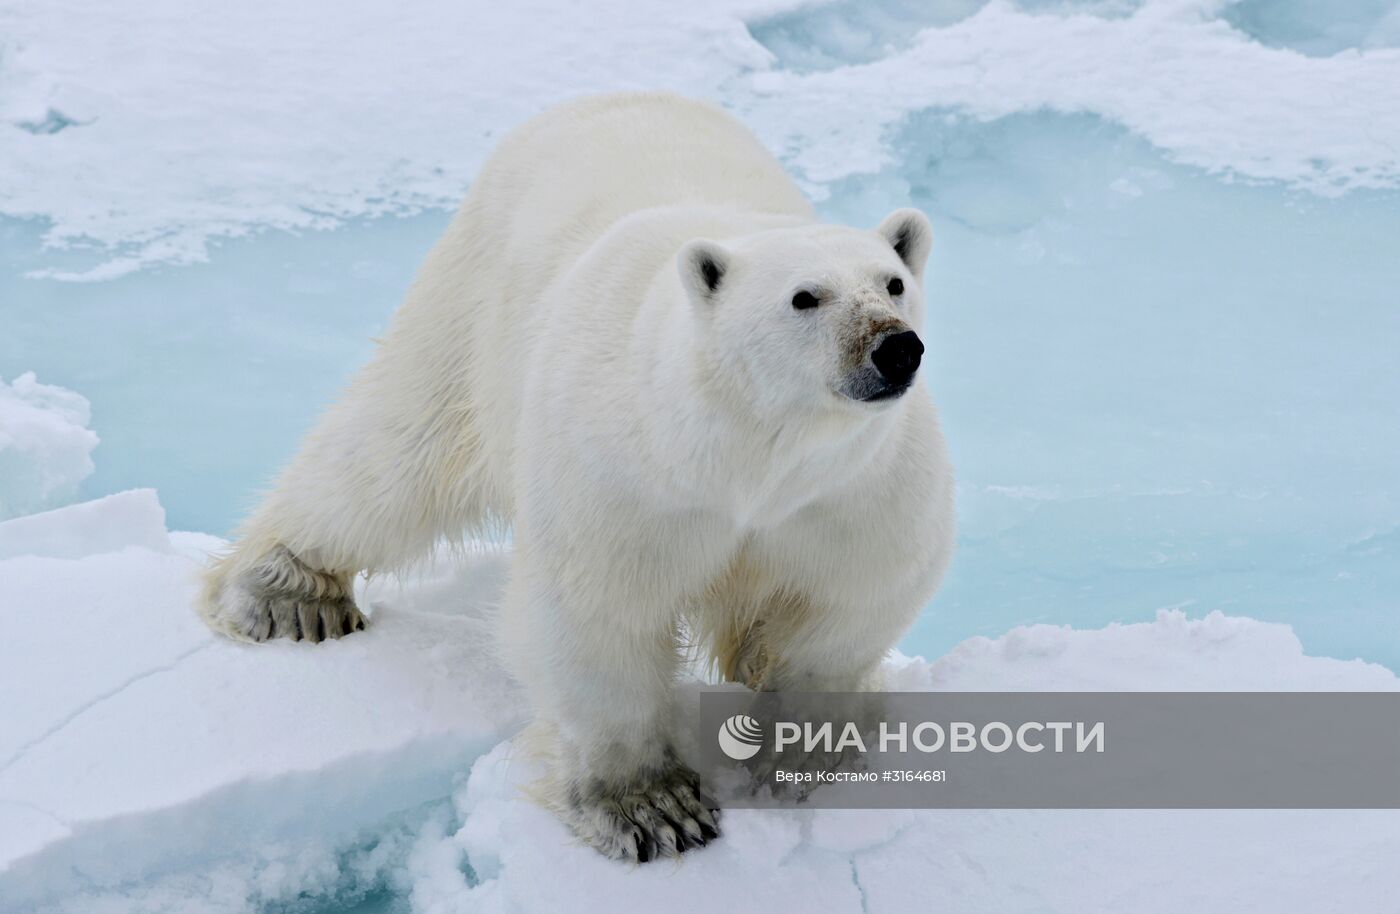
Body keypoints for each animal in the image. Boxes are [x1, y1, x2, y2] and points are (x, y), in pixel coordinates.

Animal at [200, 92, 952, 862]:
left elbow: (856, 598)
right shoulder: (627, 473)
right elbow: (597, 614)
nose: (896, 347)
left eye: (893, 282)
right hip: (474, 304)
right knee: (396, 455)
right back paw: (290, 594)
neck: (744, 454)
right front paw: (654, 809)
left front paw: (803, 752)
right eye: (806, 296)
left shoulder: (853, 489)